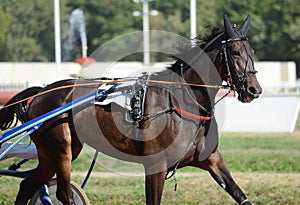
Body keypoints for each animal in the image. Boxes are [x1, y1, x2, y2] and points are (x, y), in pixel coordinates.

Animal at [0, 16, 262, 205]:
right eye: (235, 53)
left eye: (252, 52)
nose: (254, 89)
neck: (185, 100)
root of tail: (39, 93)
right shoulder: (155, 167)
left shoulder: (212, 160)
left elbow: (240, 195)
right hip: (61, 150)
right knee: (63, 194)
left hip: (51, 154)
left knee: (27, 186)